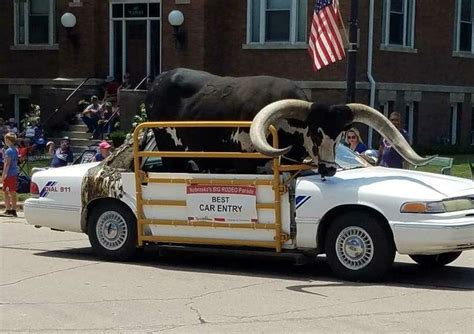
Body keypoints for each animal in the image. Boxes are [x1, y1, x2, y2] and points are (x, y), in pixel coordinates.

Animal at [146, 68, 432, 177]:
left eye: (340, 137)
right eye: (316, 134)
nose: (329, 169)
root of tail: (161, 78)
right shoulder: (243, 165)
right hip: (170, 152)